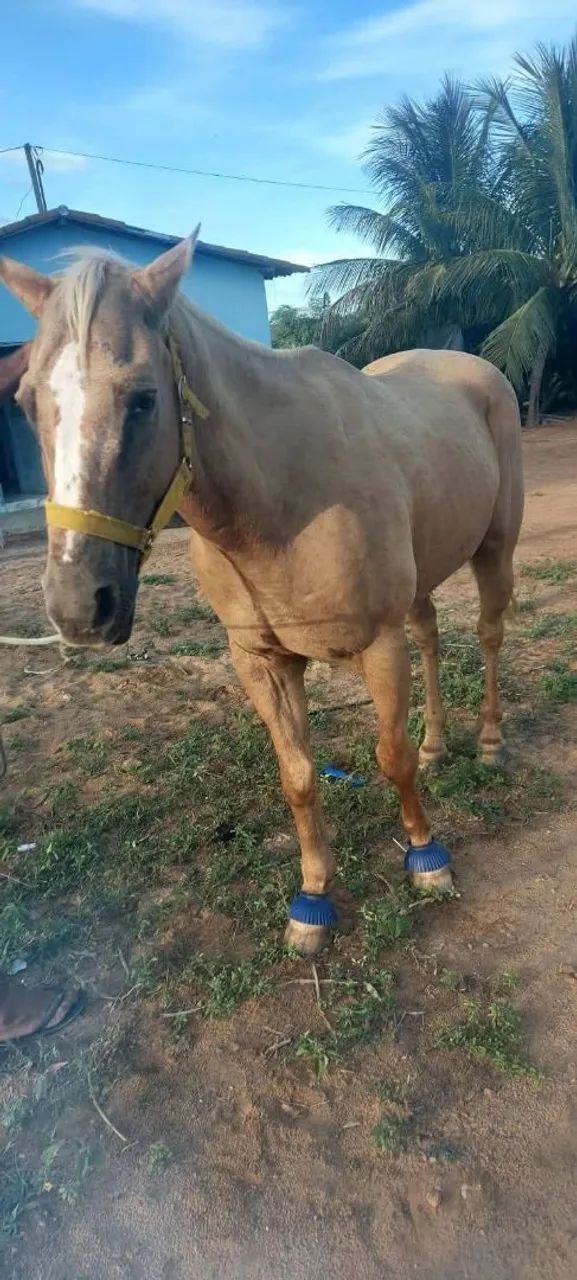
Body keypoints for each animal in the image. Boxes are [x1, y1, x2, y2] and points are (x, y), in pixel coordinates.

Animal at [0, 233, 524, 956]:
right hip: (420, 585)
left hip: (494, 550)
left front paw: (426, 858)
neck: (283, 498)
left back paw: (491, 742)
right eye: (26, 401)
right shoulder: (260, 660)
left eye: (143, 398)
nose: (81, 605)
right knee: (431, 639)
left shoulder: (377, 644)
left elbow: (388, 758)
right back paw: (437, 745)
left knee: (490, 637)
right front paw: (313, 900)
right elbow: (298, 777)